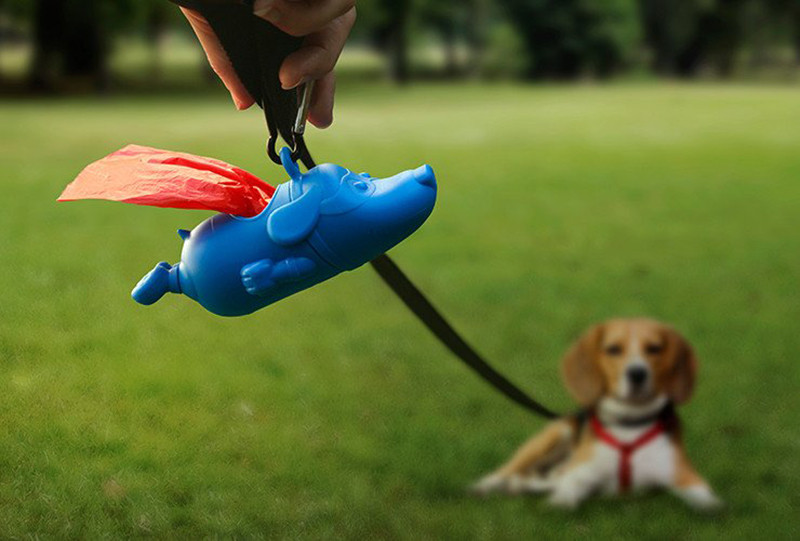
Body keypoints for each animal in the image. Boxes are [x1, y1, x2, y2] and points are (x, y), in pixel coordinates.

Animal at [472, 316, 720, 510]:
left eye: (654, 348)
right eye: (613, 349)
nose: (637, 373)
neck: (628, 423)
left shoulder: (684, 475)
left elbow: (708, 502)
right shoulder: (579, 474)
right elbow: (564, 496)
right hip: (552, 436)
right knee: (509, 471)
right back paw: (485, 486)